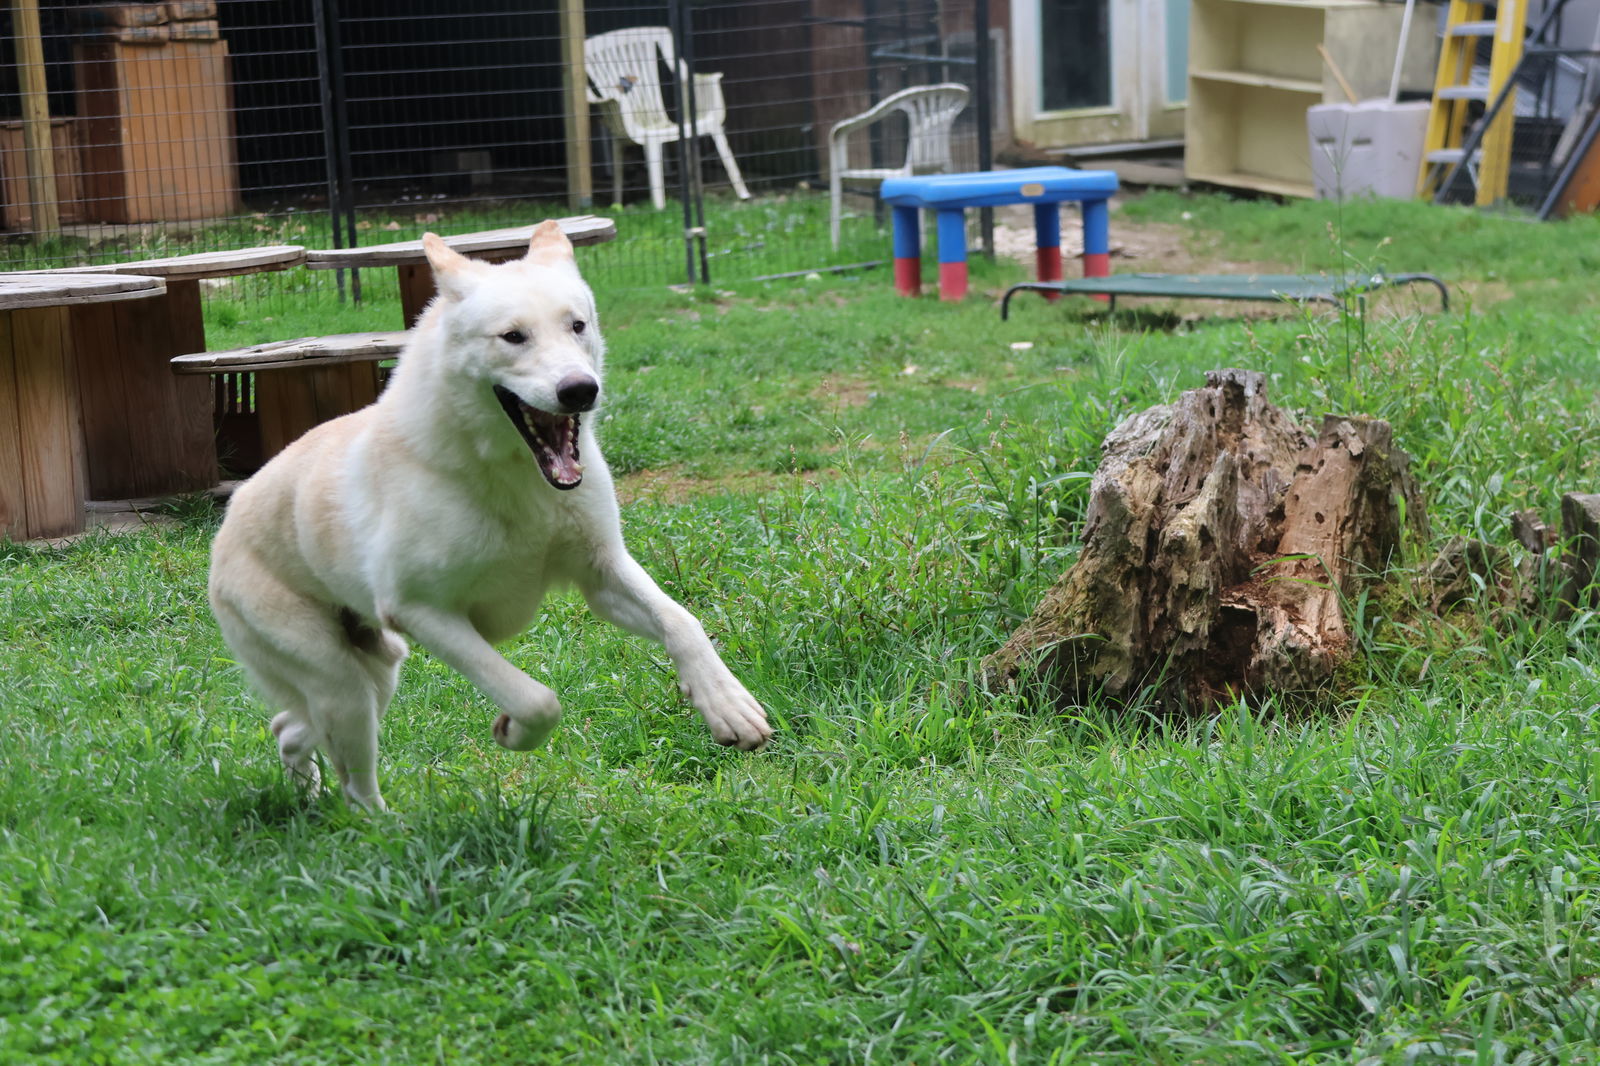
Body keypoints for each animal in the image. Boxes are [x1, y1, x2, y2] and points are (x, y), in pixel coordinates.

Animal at [209, 222, 771, 806]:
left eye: (577, 325)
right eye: (513, 337)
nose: (580, 390)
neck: (515, 477)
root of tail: (224, 530)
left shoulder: (601, 573)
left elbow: (682, 622)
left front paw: (727, 704)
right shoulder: (424, 612)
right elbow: (536, 700)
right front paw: (514, 731)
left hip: (377, 671)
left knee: (291, 727)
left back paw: (307, 792)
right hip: (344, 685)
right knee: (353, 782)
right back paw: (378, 821)